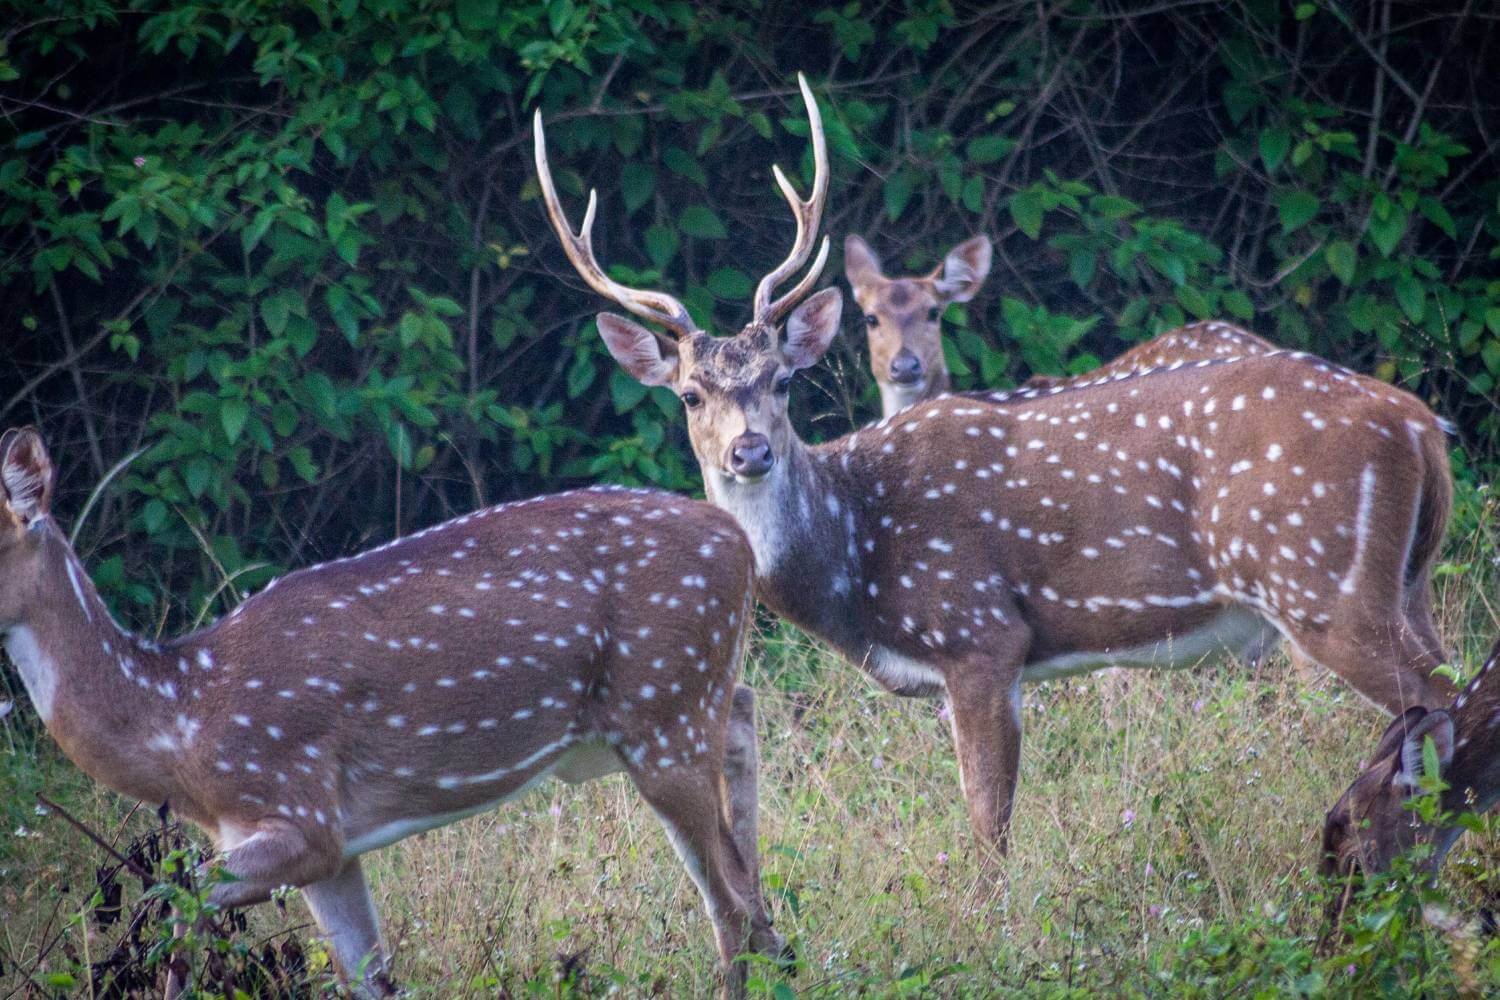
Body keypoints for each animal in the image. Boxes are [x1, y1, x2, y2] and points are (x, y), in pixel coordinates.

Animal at [2, 425, 786, 995]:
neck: (181, 722)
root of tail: (739, 543)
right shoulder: (333, 850)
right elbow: (373, 979)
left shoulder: (300, 809)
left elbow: (178, 899)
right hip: (680, 702)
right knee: (744, 738)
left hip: (663, 711)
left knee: (727, 903)